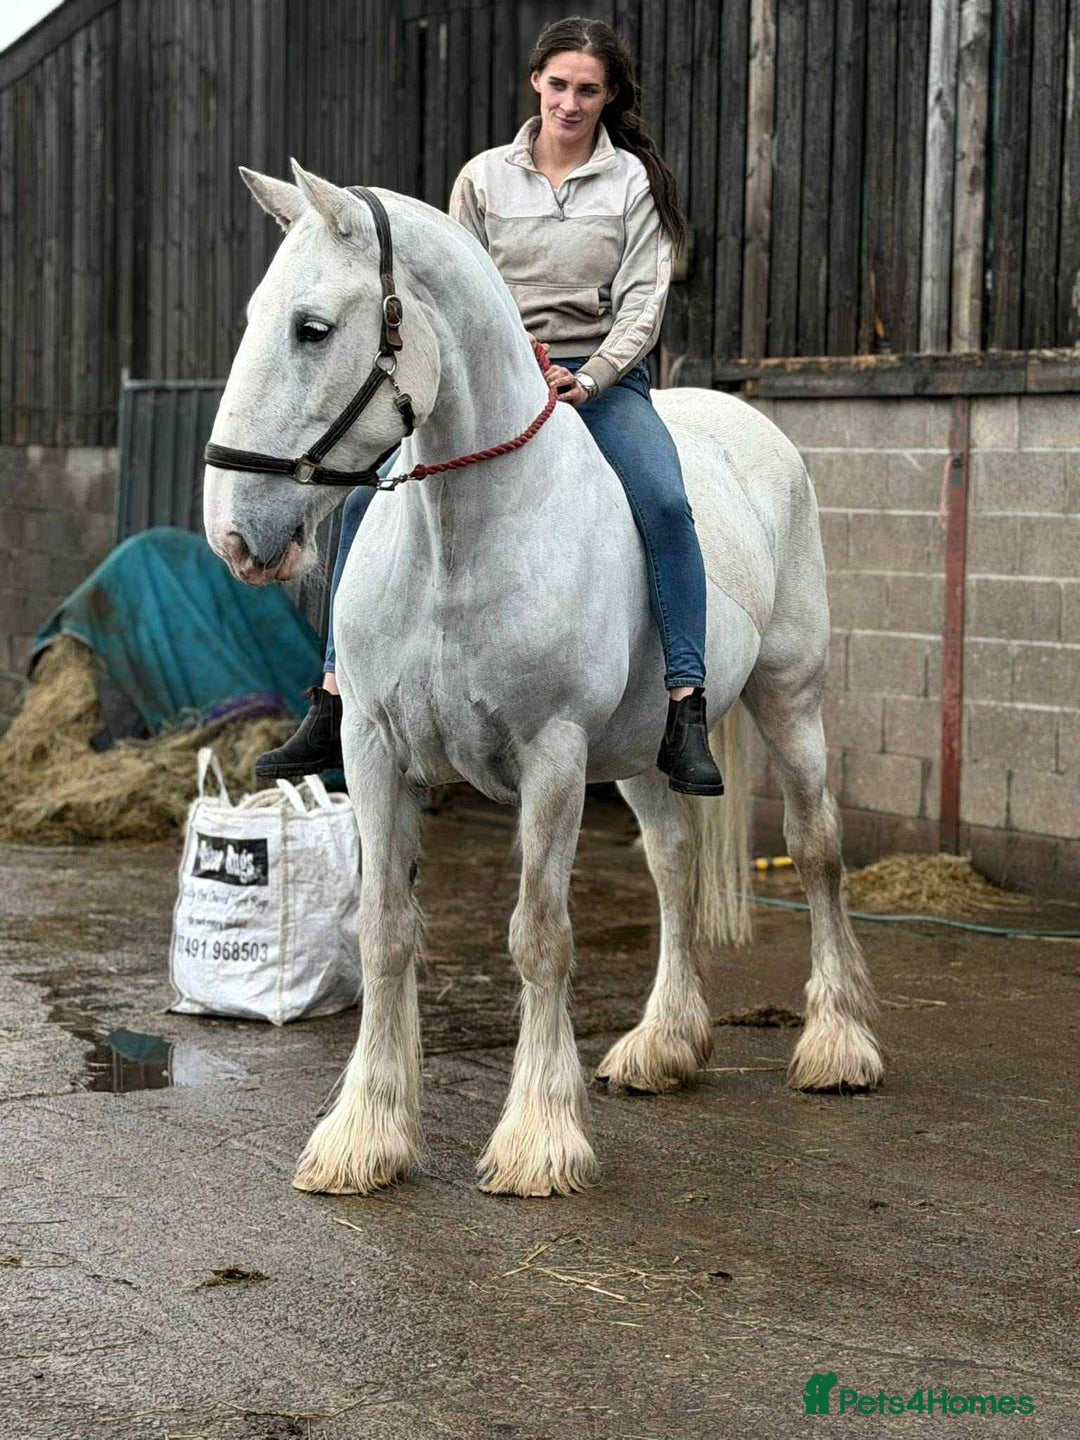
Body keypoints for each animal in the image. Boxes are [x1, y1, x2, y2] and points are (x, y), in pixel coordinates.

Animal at [202, 160, 883, 1199]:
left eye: (311, 327)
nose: (233, 532)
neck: (460, 540)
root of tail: (752, 425)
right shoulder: (374, 751)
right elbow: (385, 929)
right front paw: (365, 1135)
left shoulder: (551, 759)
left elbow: (540, 937)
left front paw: (537, 1138)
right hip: (642, 755)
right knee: (674, 862)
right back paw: (663, 1045)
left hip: (789, 702)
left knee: (817, 850)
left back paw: (837, 1046)